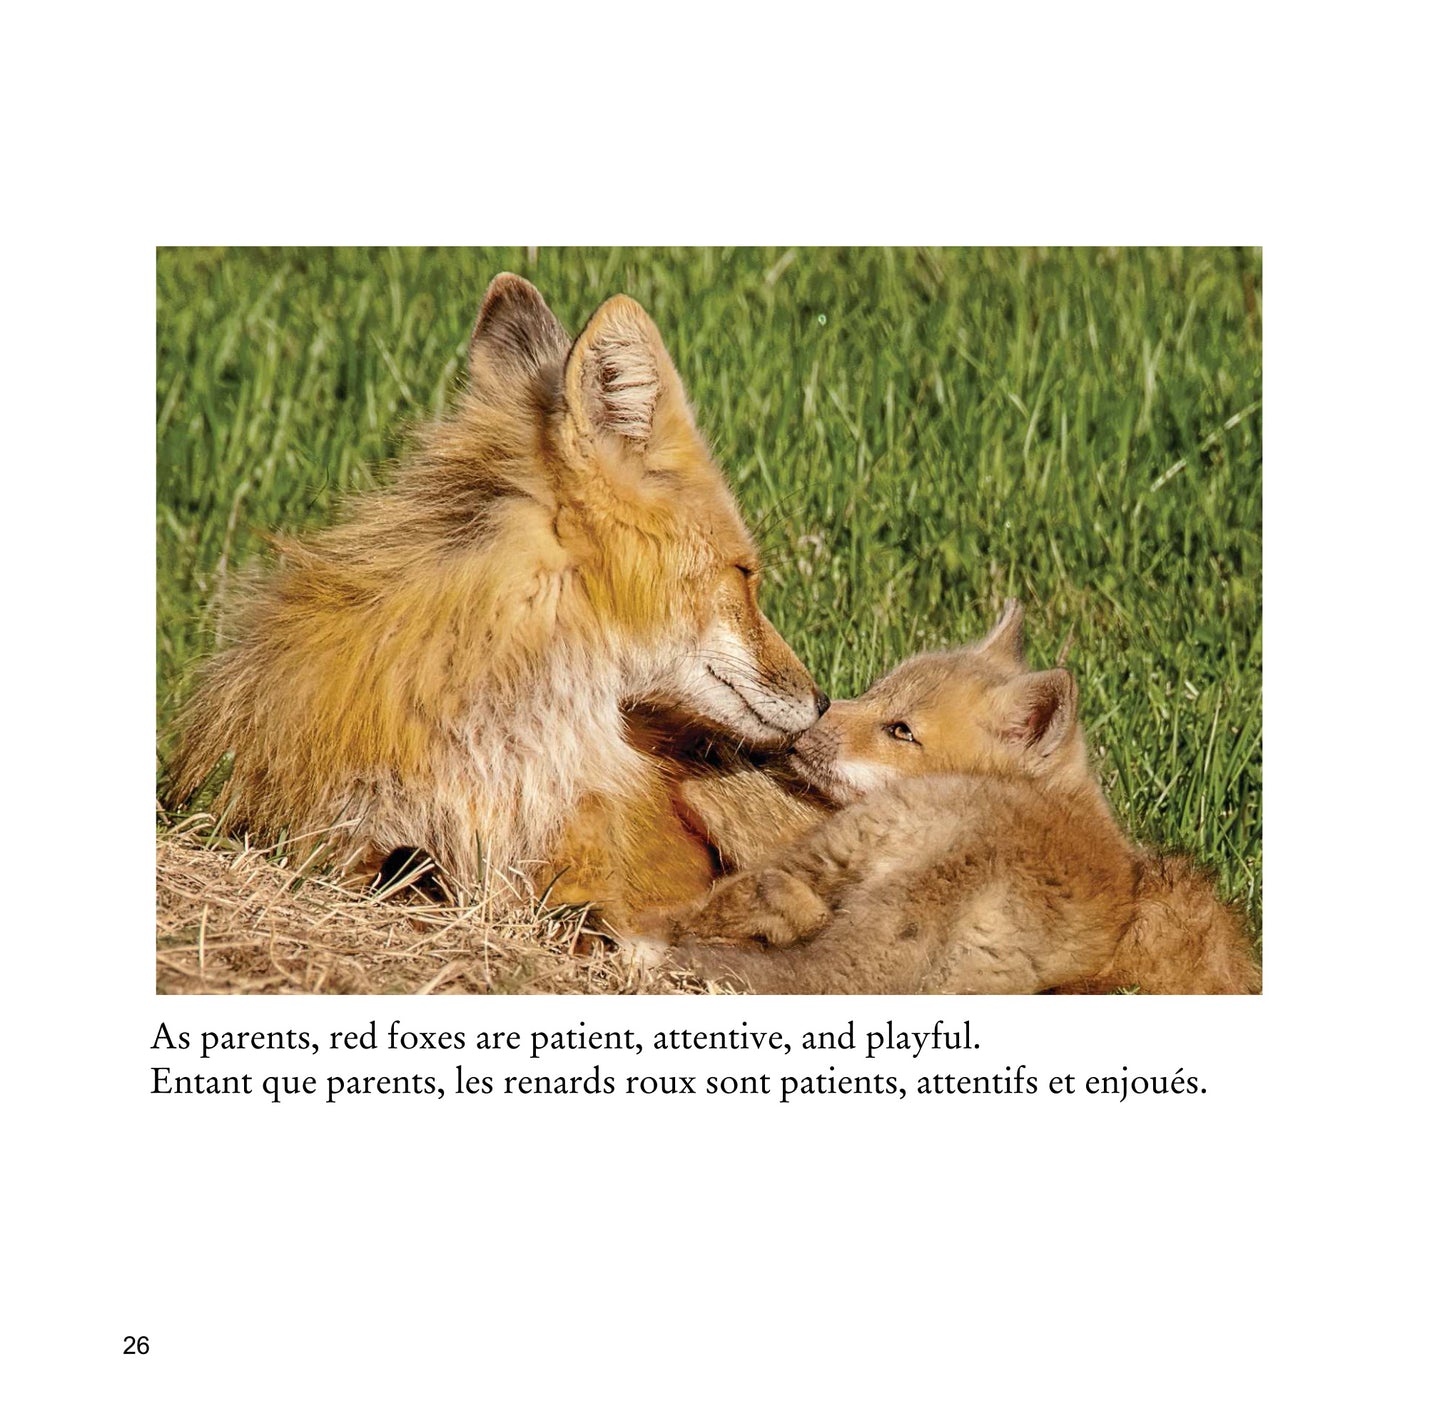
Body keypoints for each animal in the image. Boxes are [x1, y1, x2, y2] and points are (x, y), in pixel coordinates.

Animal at [633, 601, 1260, 994]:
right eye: (873, 692)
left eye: (901, 731)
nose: (806, 726)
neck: (1071, 805)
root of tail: (966, 863)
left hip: (827, 847)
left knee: (719, 906)